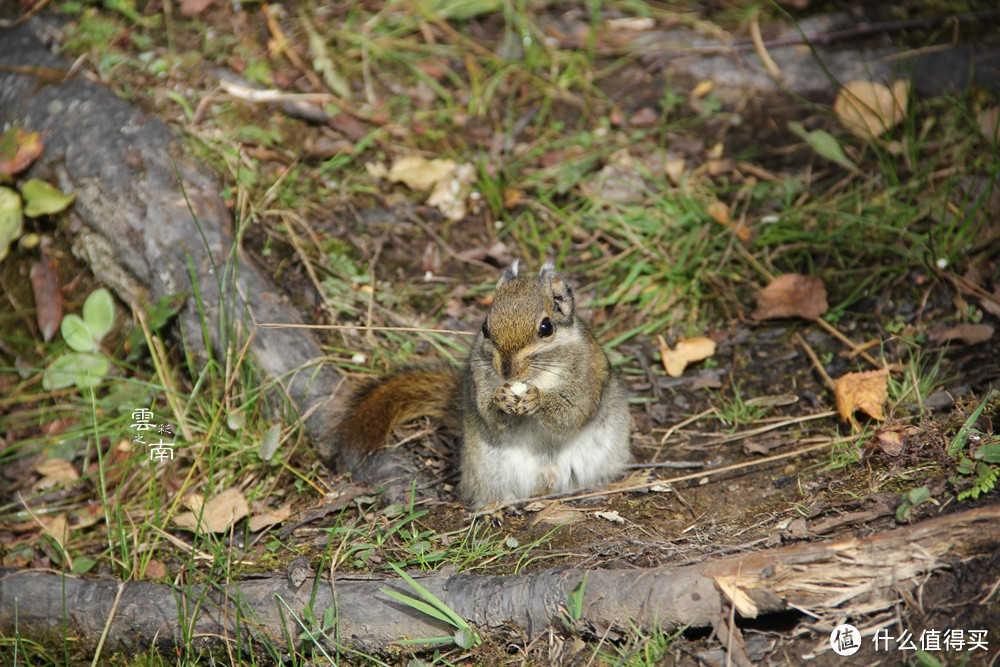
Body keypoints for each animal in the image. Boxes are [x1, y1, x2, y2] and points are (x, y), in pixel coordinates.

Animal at [324, 262, 628, 506]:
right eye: (484, 328)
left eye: (546, 328)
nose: (507, 371)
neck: (536, 377)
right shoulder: (480, 378)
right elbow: (491, 418)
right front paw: (501, 399)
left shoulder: (586, 375)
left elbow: (572, 413)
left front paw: (536, 399)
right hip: (489, 471)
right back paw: (494, 508)